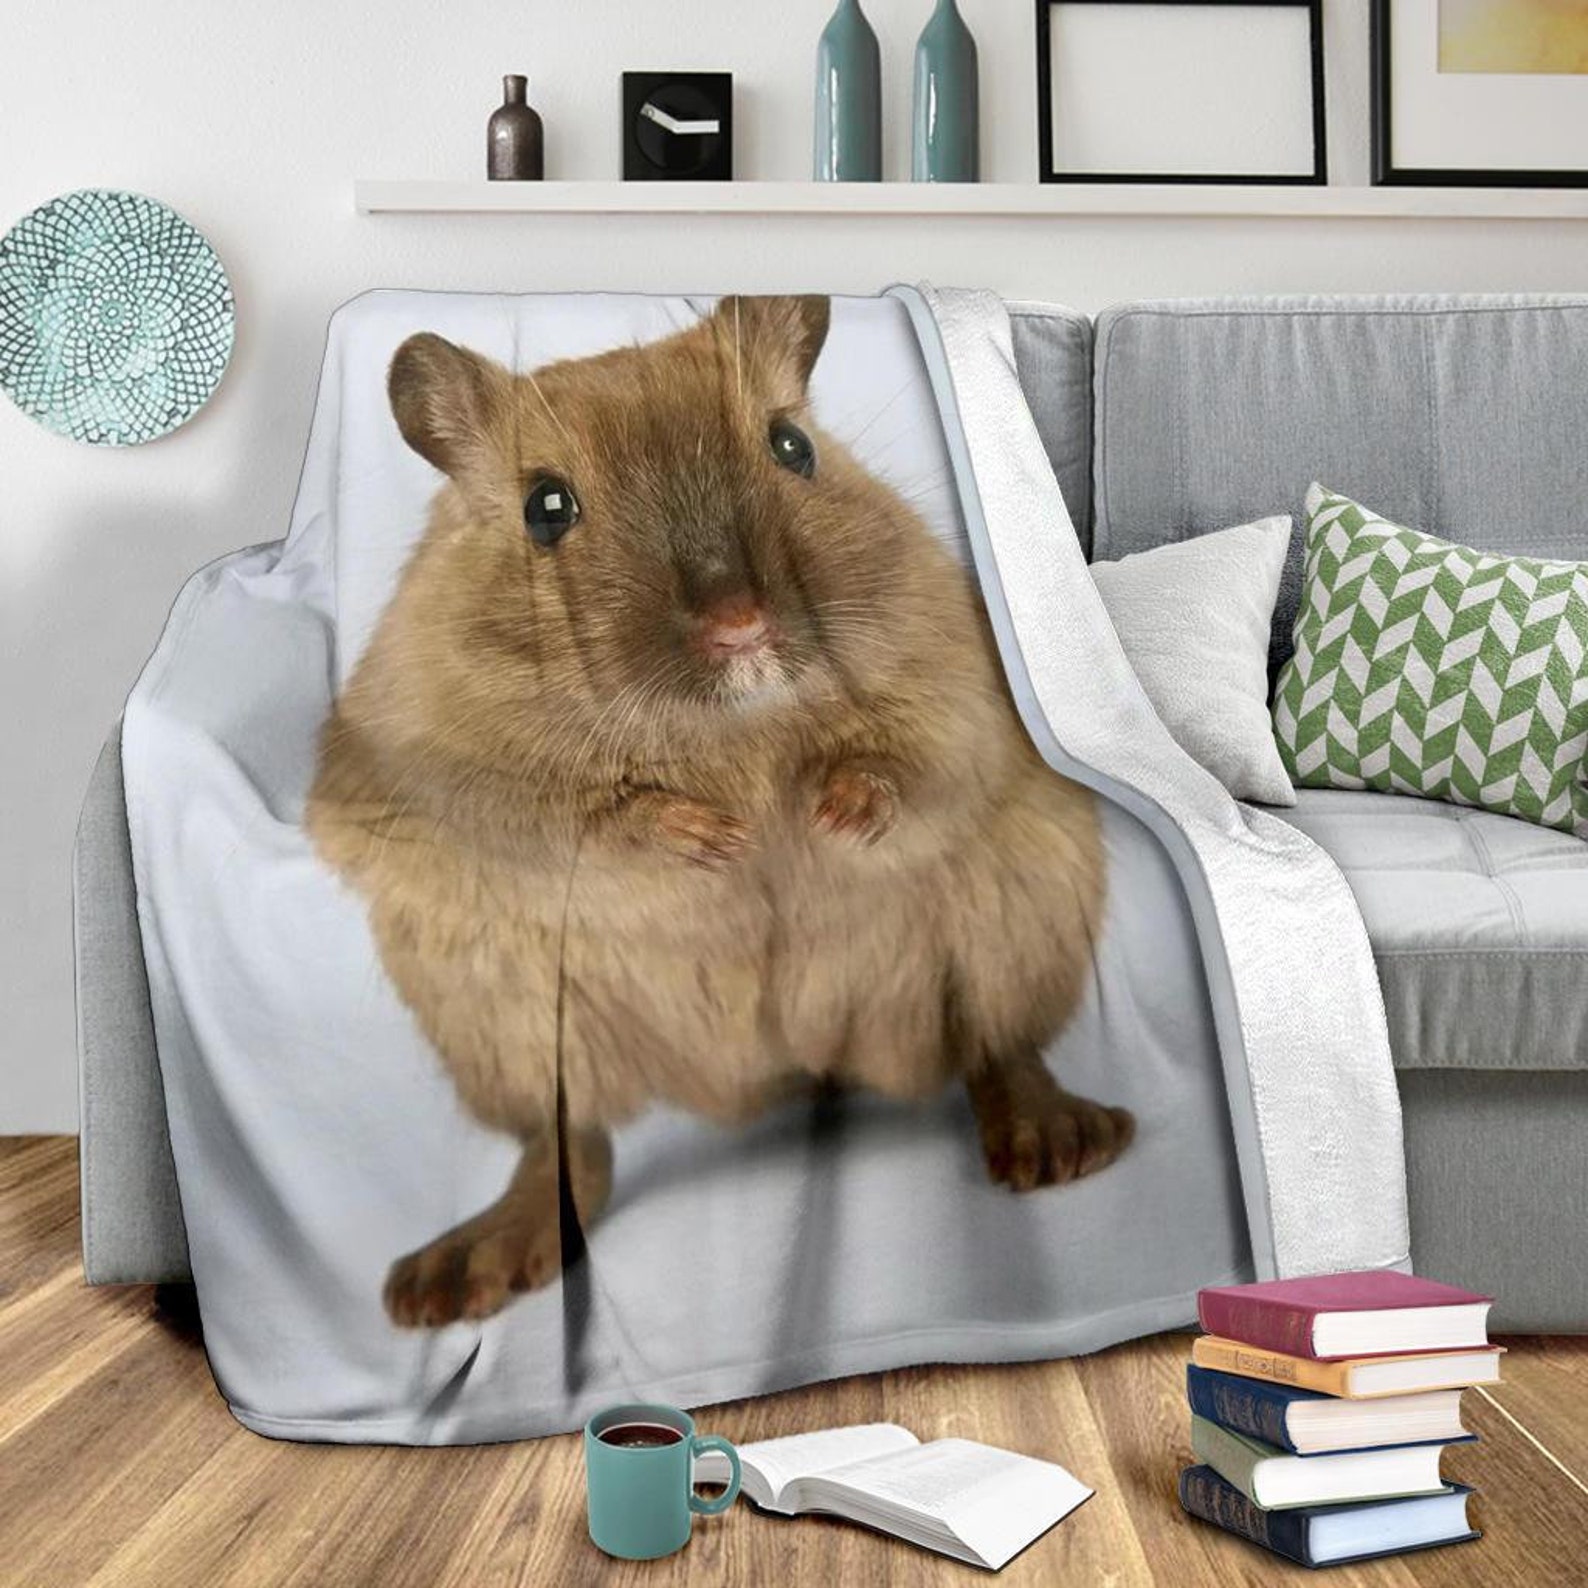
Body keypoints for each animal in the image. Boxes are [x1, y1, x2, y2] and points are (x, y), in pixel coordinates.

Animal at [306, 296, 1129, 1328]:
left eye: (792, 446)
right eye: (545, 508)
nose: (742, 627)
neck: (729, 725)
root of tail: (770, 1074)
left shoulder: (957, 678)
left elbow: (918, 759)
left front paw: (830, 812)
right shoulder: (440, 770)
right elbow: (573, 823)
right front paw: (714, 839)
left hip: (1018, 908)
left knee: (995, 1045)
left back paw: (1059, 1138)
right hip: (500, 1013)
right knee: (570, 1142)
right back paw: (459, 1274)